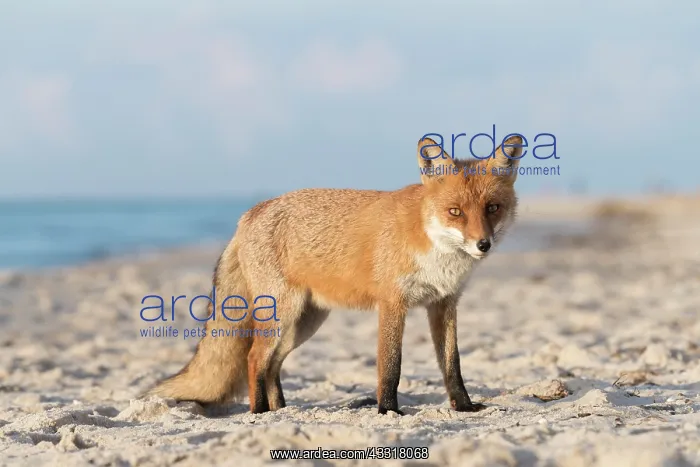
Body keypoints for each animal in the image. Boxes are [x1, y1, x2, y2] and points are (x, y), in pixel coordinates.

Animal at [145, 135, 523, 415]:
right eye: (455, 212)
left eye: (492, 208)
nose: (483, 244)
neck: (434, 249)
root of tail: (250, 213)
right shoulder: (392, 304)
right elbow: (391, 366)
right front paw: (388, 411)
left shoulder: (444, 304)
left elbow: (451, 364)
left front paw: (464, 406)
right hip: (282, 314)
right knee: (255, 359)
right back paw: (259, 413)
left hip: (306, 322)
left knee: (273, 365)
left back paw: (280, 410)